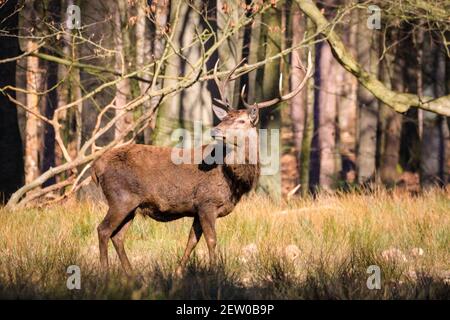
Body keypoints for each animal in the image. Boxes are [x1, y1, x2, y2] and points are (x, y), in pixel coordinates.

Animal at [91, 51, 312, 276]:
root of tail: (96, 167)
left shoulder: (197, 209)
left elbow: (191, 241)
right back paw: (104, 271)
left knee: (118, 236)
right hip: (120, 198)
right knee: (103, 230)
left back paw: (131, 273)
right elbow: (211, 240)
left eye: (241, 121)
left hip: (133, 205)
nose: (215, 130)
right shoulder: (207, 202)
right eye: (226, 117)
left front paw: (178, 272)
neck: (233, 180)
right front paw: (216, 271)